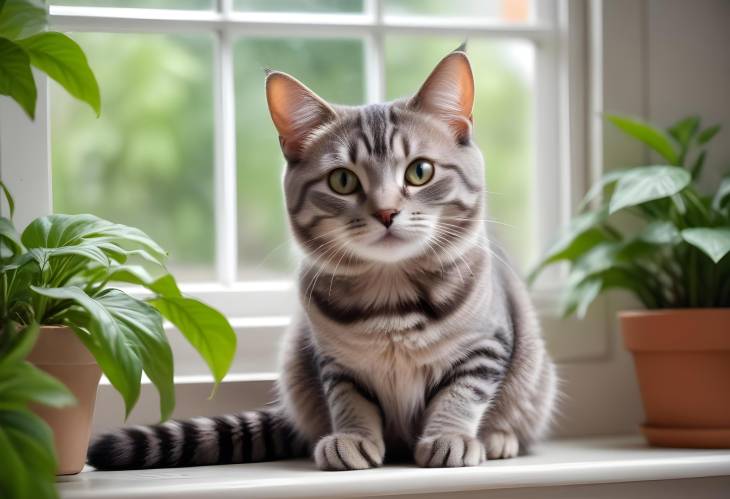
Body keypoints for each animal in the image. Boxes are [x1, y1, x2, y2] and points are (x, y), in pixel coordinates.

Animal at [91, 47, 556, 472]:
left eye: (420, 171)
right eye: (343, 180)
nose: (386, 212)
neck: (392, 296)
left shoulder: (485, 345)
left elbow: (461, 394)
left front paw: (451, 436)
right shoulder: (335, 362)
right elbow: (350, 400)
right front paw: (352, 438)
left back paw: (498, 437)